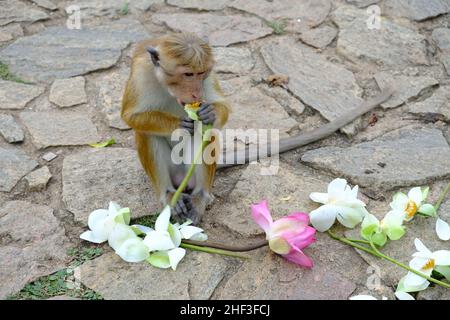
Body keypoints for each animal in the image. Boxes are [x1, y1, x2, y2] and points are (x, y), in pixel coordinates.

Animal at [121, 31, 229, 224]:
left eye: (200, 73)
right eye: (188, 74)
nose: (197, 92)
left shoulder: (208, 78)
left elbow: (223, 106)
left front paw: (210, 113)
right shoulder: (140, 73)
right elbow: (130, 116)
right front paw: (179, 125)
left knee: (203, 131)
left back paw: (200, 197)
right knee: (146, 133)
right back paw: (170, 196)